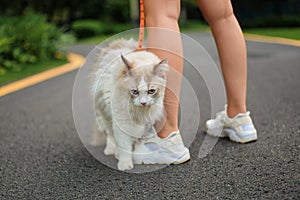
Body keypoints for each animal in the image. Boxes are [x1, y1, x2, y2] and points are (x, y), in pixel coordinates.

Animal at [91, 38, 168, 170]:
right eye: (134, 91)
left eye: (151, 91)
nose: (143, 102)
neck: (138, 111)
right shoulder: (121, 121)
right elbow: (124, 145)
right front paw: (125, 164)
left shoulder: (146, 122)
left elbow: (140, 141)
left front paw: (140, 156)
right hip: (105, 112)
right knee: (110, 133)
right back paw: (111, 150)